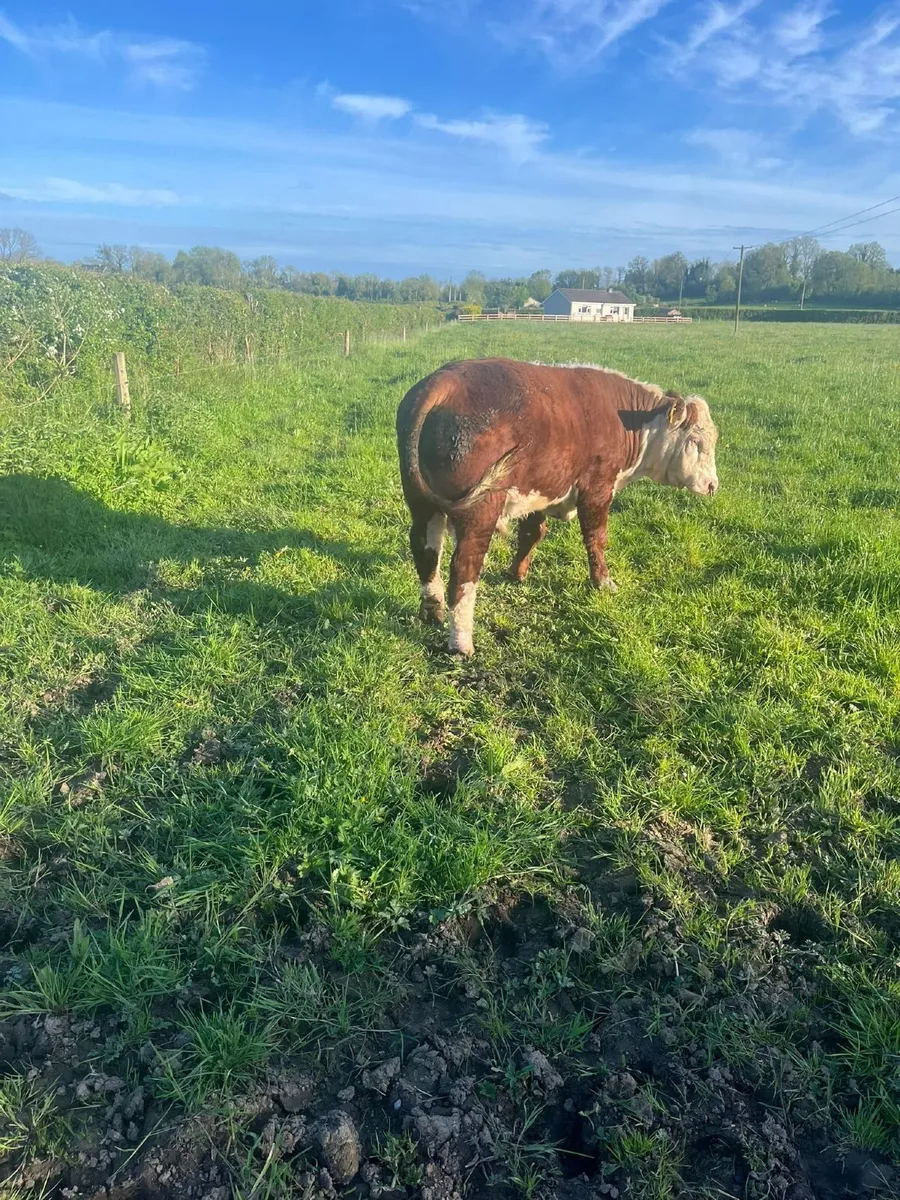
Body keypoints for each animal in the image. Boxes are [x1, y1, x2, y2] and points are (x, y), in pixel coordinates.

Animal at [396, 357, 719, 656]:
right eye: (696, 441)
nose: (713, 485)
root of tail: (446, 379)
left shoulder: (540, 490)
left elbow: (532, 533)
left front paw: (516, 573)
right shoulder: (598, 488)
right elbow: (596, 539)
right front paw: (603, 582)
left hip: (423, 505)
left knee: (426, 551)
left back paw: (432, 610)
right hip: (479, 512)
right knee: (464, 567)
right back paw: (461, 643)